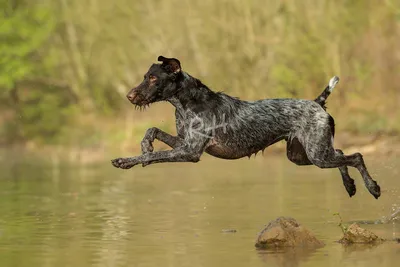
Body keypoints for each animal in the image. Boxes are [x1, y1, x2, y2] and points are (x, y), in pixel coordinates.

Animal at [112, 55, 382, 200]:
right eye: (145, 76)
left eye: (153, 78)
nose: (129, 95)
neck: (187, 102)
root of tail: (318, 103)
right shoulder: (184, 143)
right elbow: (152, 131)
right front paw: (145, 146)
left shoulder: (190, 152)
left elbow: (154, 154)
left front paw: (126, 160)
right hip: (303, 155)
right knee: (342, 154)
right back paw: (350, 186)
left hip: (317, 155)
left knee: (356, 156)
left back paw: (372, 187)